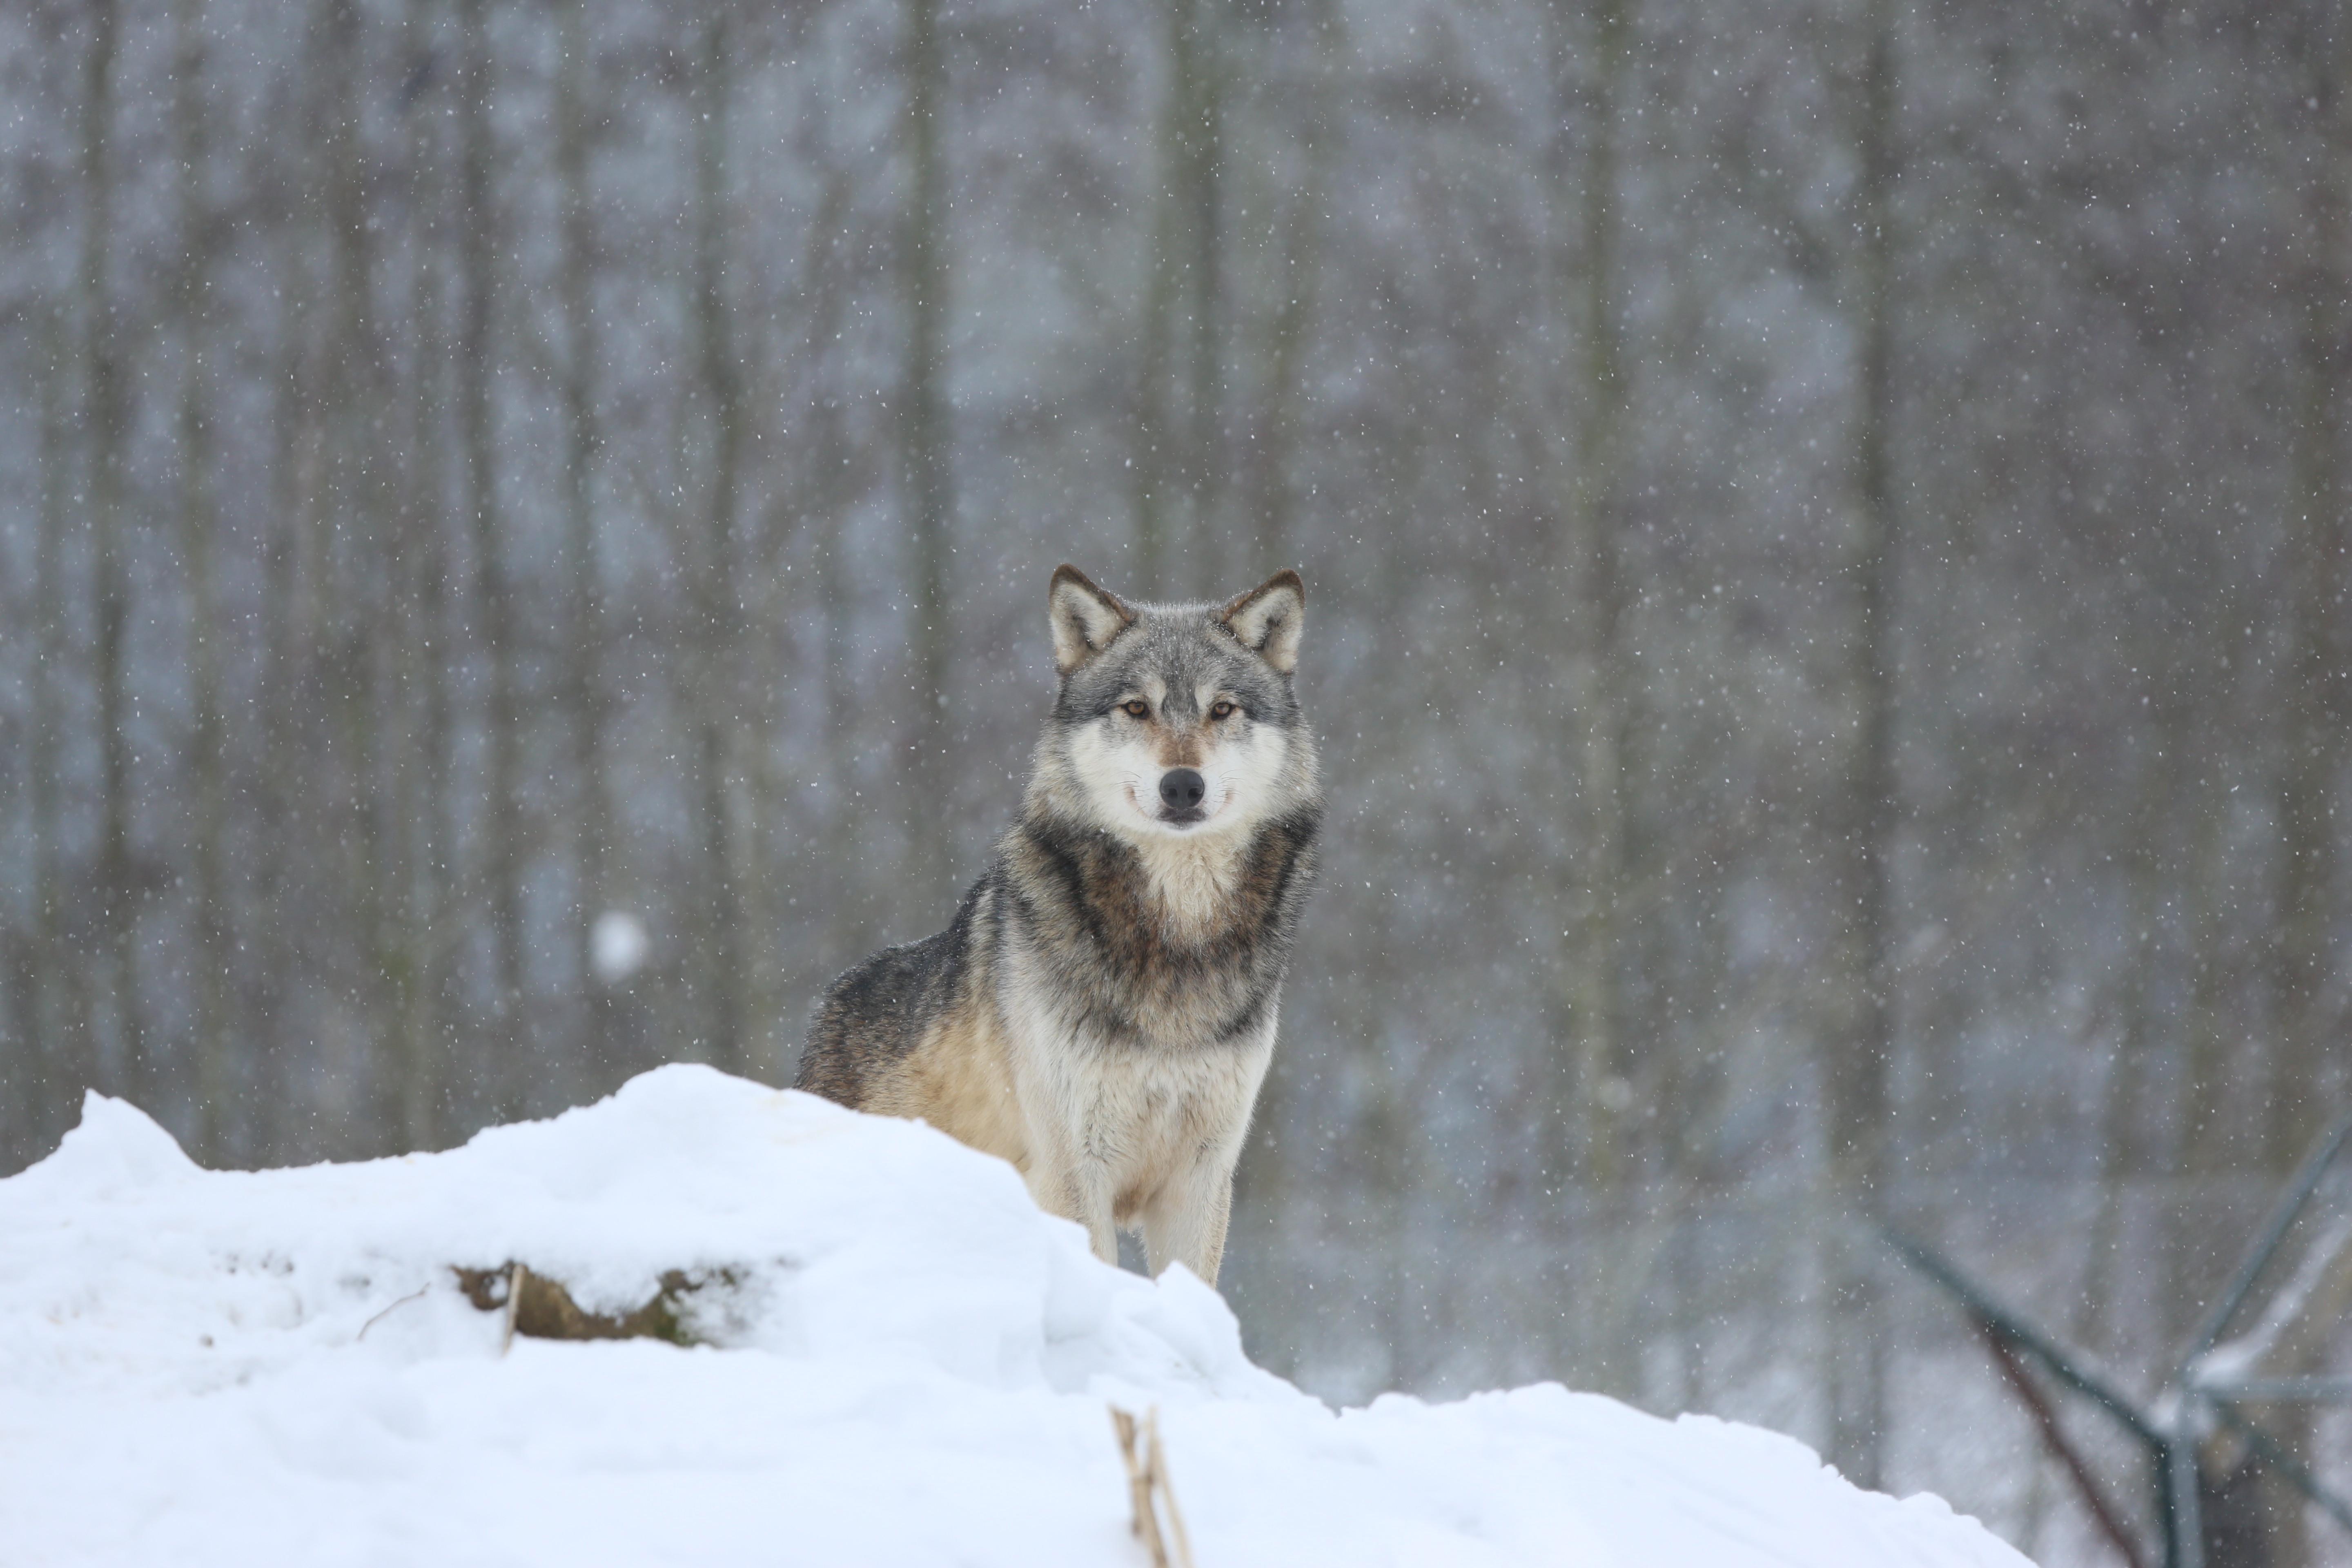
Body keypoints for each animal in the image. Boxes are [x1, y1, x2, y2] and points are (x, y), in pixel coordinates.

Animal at [794, 565, 1322, 1285]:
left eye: (1222, 710)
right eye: (1137, 708)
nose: (1182, 786)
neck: (1175, 938)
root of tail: (830, 1006)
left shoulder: (1201, 1179)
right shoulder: (1074, 1169)